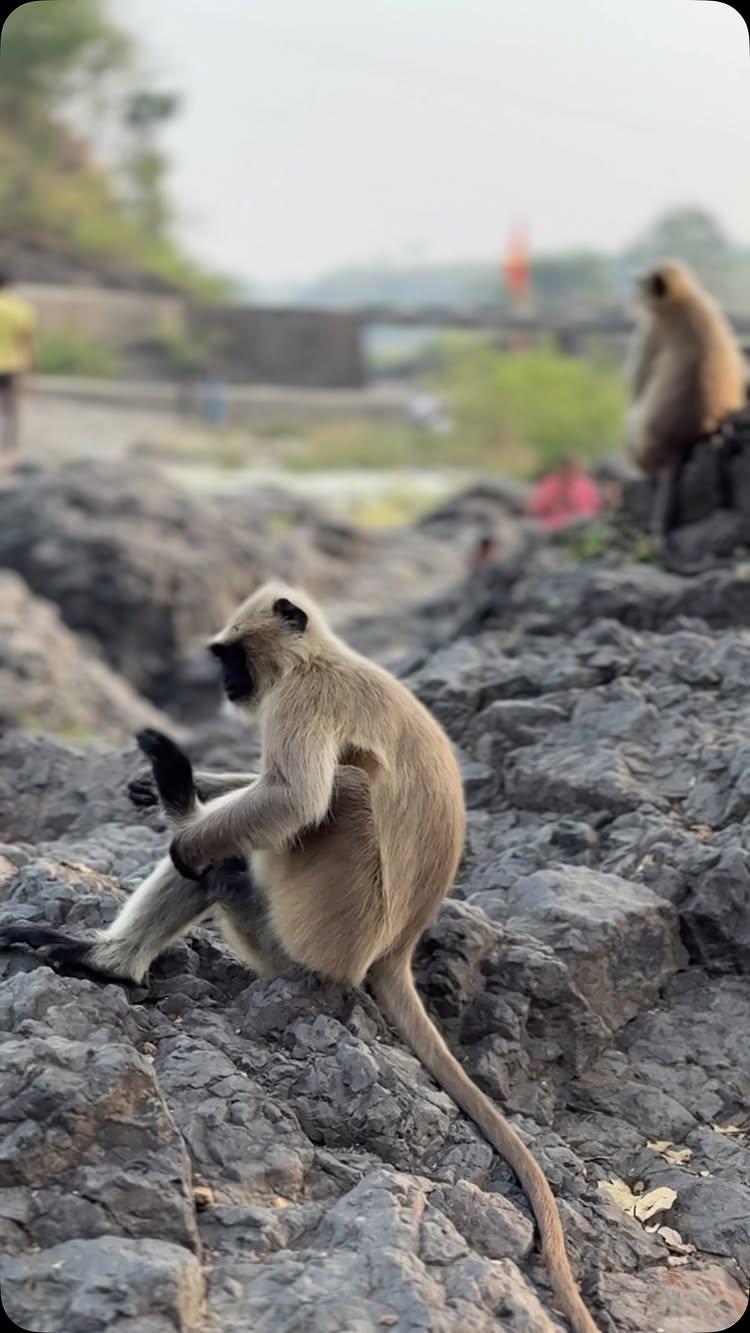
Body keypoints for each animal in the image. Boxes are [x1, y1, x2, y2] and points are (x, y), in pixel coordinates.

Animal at [0, 583, 599, 1333]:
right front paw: (190, 781)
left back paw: (177, 819)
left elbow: (293, 796)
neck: (323, 658)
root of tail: (396, 949)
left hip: (319, 922)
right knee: (232, 862)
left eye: (230, 656)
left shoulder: (303, 699)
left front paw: (181, 806)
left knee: (328, 796)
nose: (227, 683)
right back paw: (112, 955)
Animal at [628, 259, 746, 535]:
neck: (682, 297)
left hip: (644, 446)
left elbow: (638, 385)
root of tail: (679, 445)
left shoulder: (652, 329)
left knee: (633, 422)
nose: (633, 292)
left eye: (641, 284)